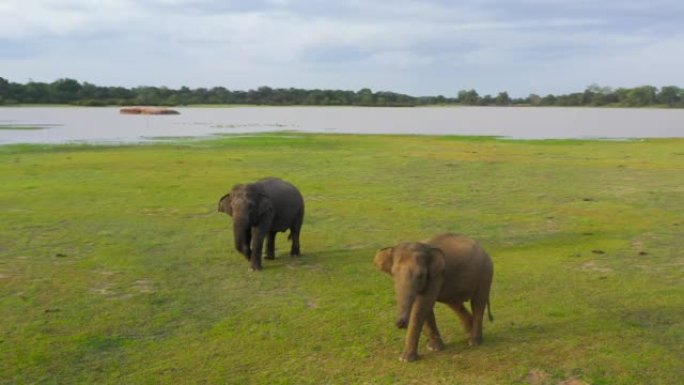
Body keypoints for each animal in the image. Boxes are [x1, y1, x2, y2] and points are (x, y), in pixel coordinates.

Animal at [374, 232, 492, 362]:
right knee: (454, 303)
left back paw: (474, 342)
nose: (400, 324)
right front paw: (434, 348)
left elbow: (422, 305)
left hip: (485, 273)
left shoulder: (436, 275)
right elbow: (424, 307)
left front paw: (405, 359)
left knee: (478, 303)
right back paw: (470, 333)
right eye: (394, 274)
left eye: (420, 275)